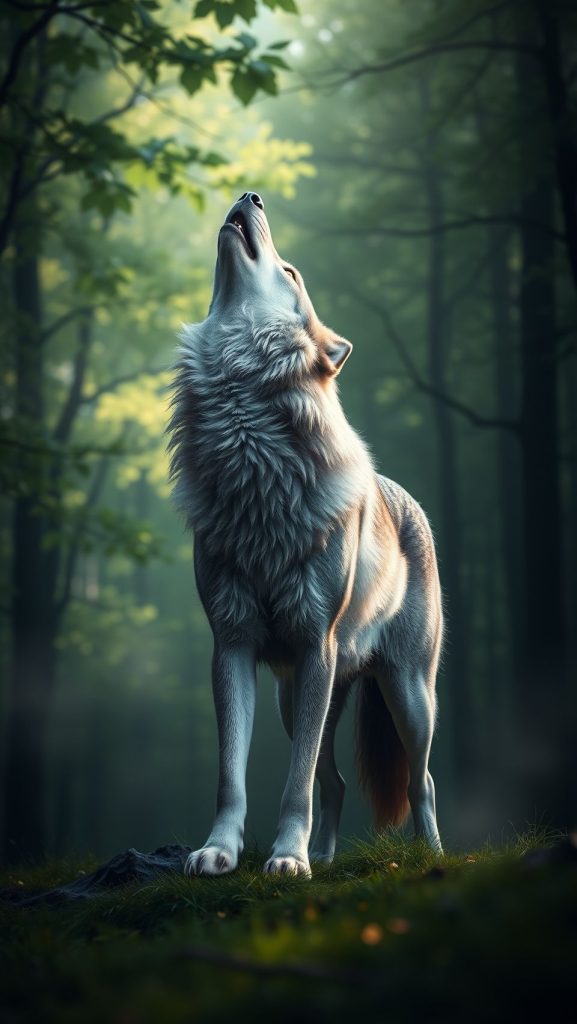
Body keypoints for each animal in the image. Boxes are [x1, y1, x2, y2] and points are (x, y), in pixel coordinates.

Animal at [168, 191, 443, 876]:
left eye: (290, 273)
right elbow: (233, 775)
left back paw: (431, 854)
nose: (251, 195)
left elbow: (294, 784)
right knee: (334, 781)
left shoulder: (315, 641)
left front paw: (287, 858)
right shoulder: (232, 644)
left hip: (407, 695)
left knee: (419, 781)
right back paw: (325, 855)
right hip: (297, 699)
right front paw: (219, 850)